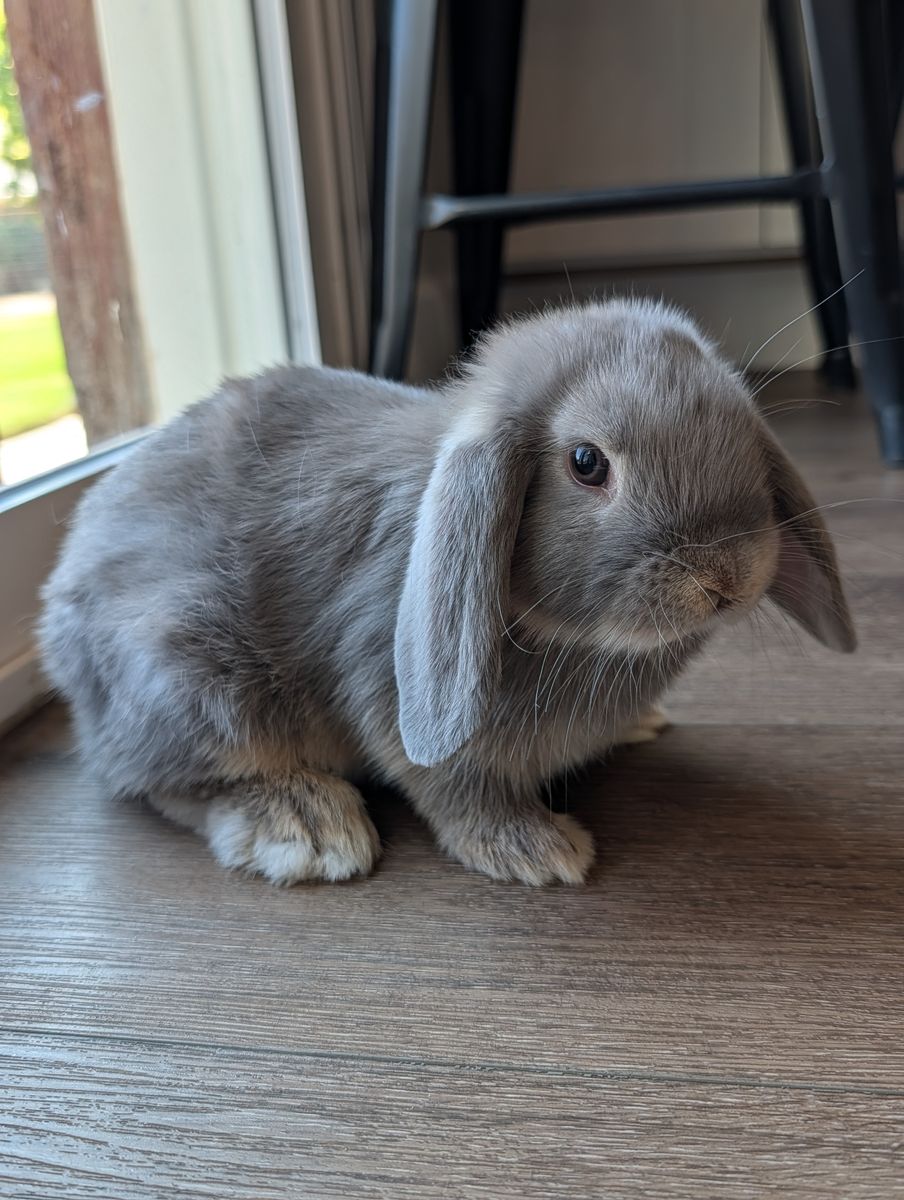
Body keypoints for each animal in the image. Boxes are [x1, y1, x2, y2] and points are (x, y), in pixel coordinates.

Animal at [39, 299, 856, 887]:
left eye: (742, 431)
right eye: (587, 463)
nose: (727, 575)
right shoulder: (385, 681)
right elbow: (449, 783)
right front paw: (536, 851)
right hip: (194, 676)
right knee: (163, 782)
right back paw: (305, 828)